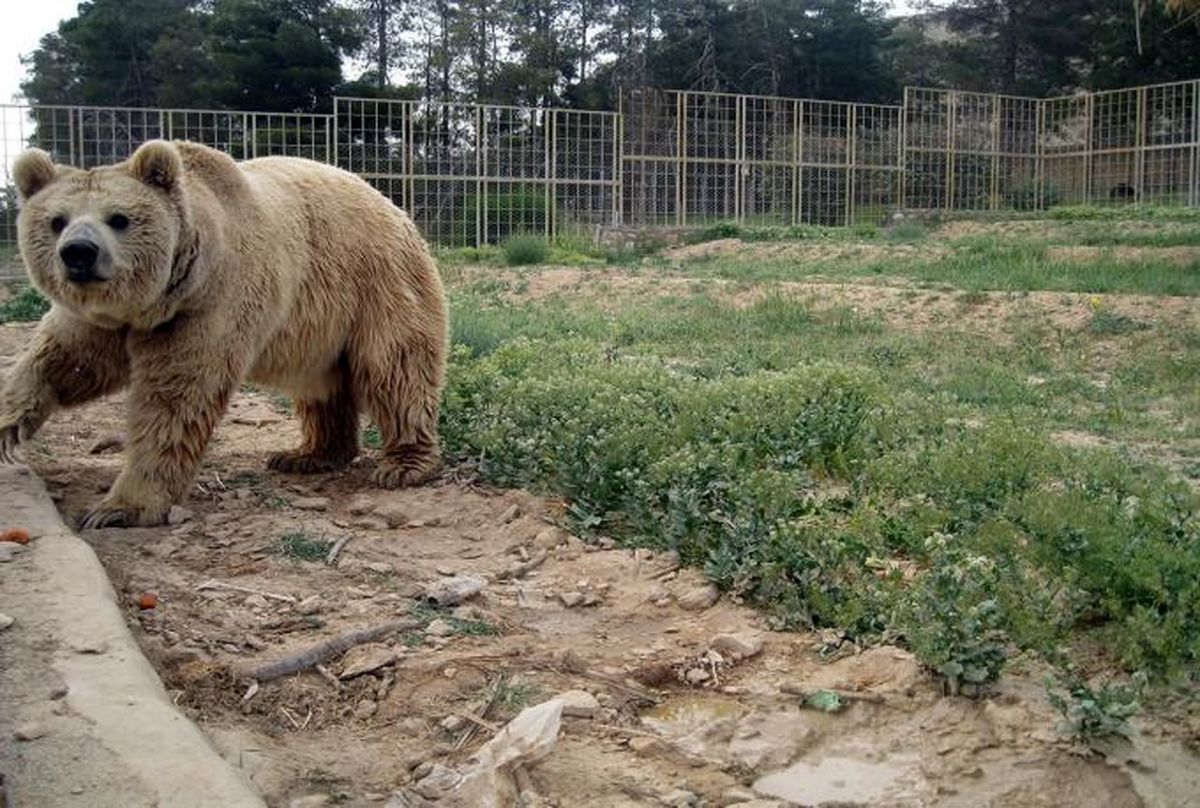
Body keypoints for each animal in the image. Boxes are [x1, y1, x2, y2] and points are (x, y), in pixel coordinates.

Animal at [0, 138, 451, 528]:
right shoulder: (95, 321)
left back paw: (403, 464)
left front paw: (121, 507)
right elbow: (60, 362)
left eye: (119, 218)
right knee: (321, 386)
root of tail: (389, 202)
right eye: (56, 220)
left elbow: (175, 400)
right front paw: (7, 429)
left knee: (394, 370)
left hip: (375, 284)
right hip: (318, 332)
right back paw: (308, 454)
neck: (156, 302)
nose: (79, 253)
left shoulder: (212, 305)